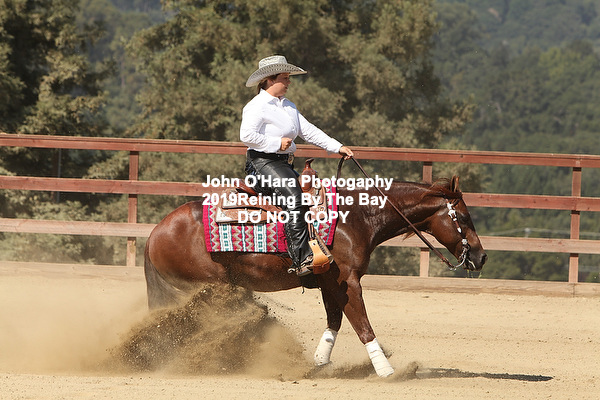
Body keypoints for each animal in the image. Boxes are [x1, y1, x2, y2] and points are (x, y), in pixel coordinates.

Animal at [143, 173, 487, 377]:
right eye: (463, 216)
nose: (481, 256)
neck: (355, 217)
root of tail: (156, 232)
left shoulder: (328, 283)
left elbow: (334, 321)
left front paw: (320, 363)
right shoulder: (347, 281)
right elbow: (362, 325)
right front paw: (387, 370)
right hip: (209, 289)